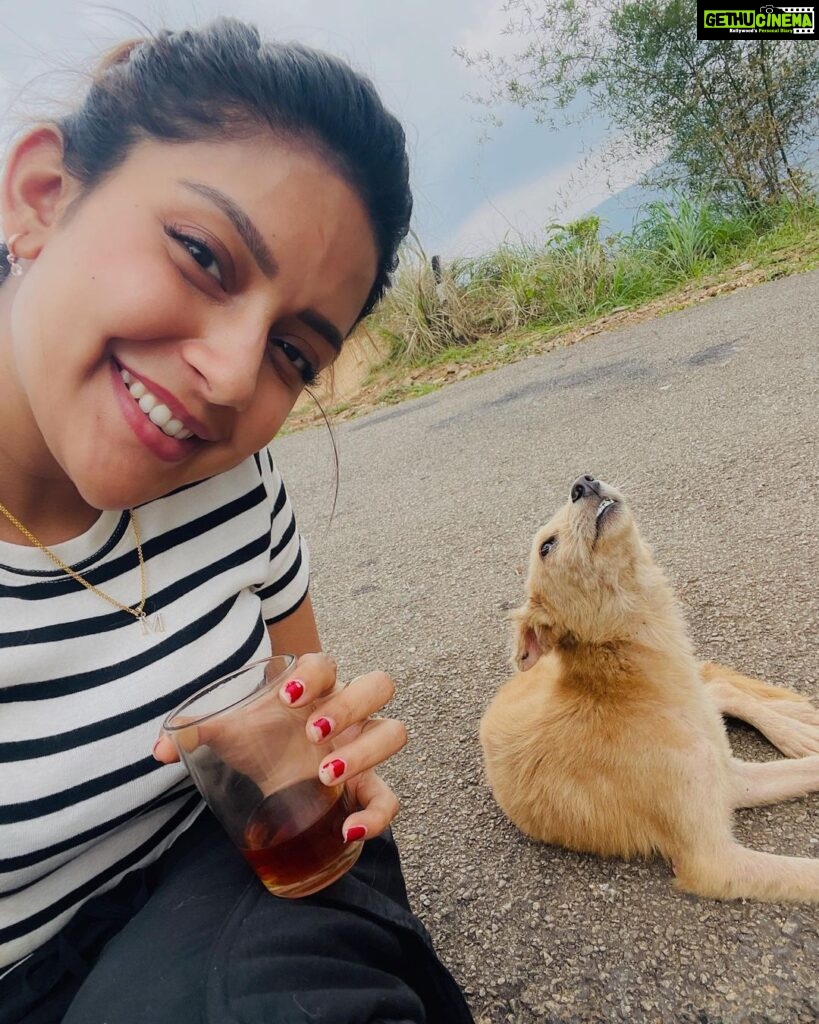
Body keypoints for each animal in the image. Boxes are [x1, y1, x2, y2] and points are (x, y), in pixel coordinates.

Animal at [479, 475, 818, 901]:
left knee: (718, 686)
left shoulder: (728, 779)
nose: (582, 482)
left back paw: (797, 726)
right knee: (717, 688)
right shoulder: (712, 856)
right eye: (546, 546)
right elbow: (808, 872)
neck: (639, 691)